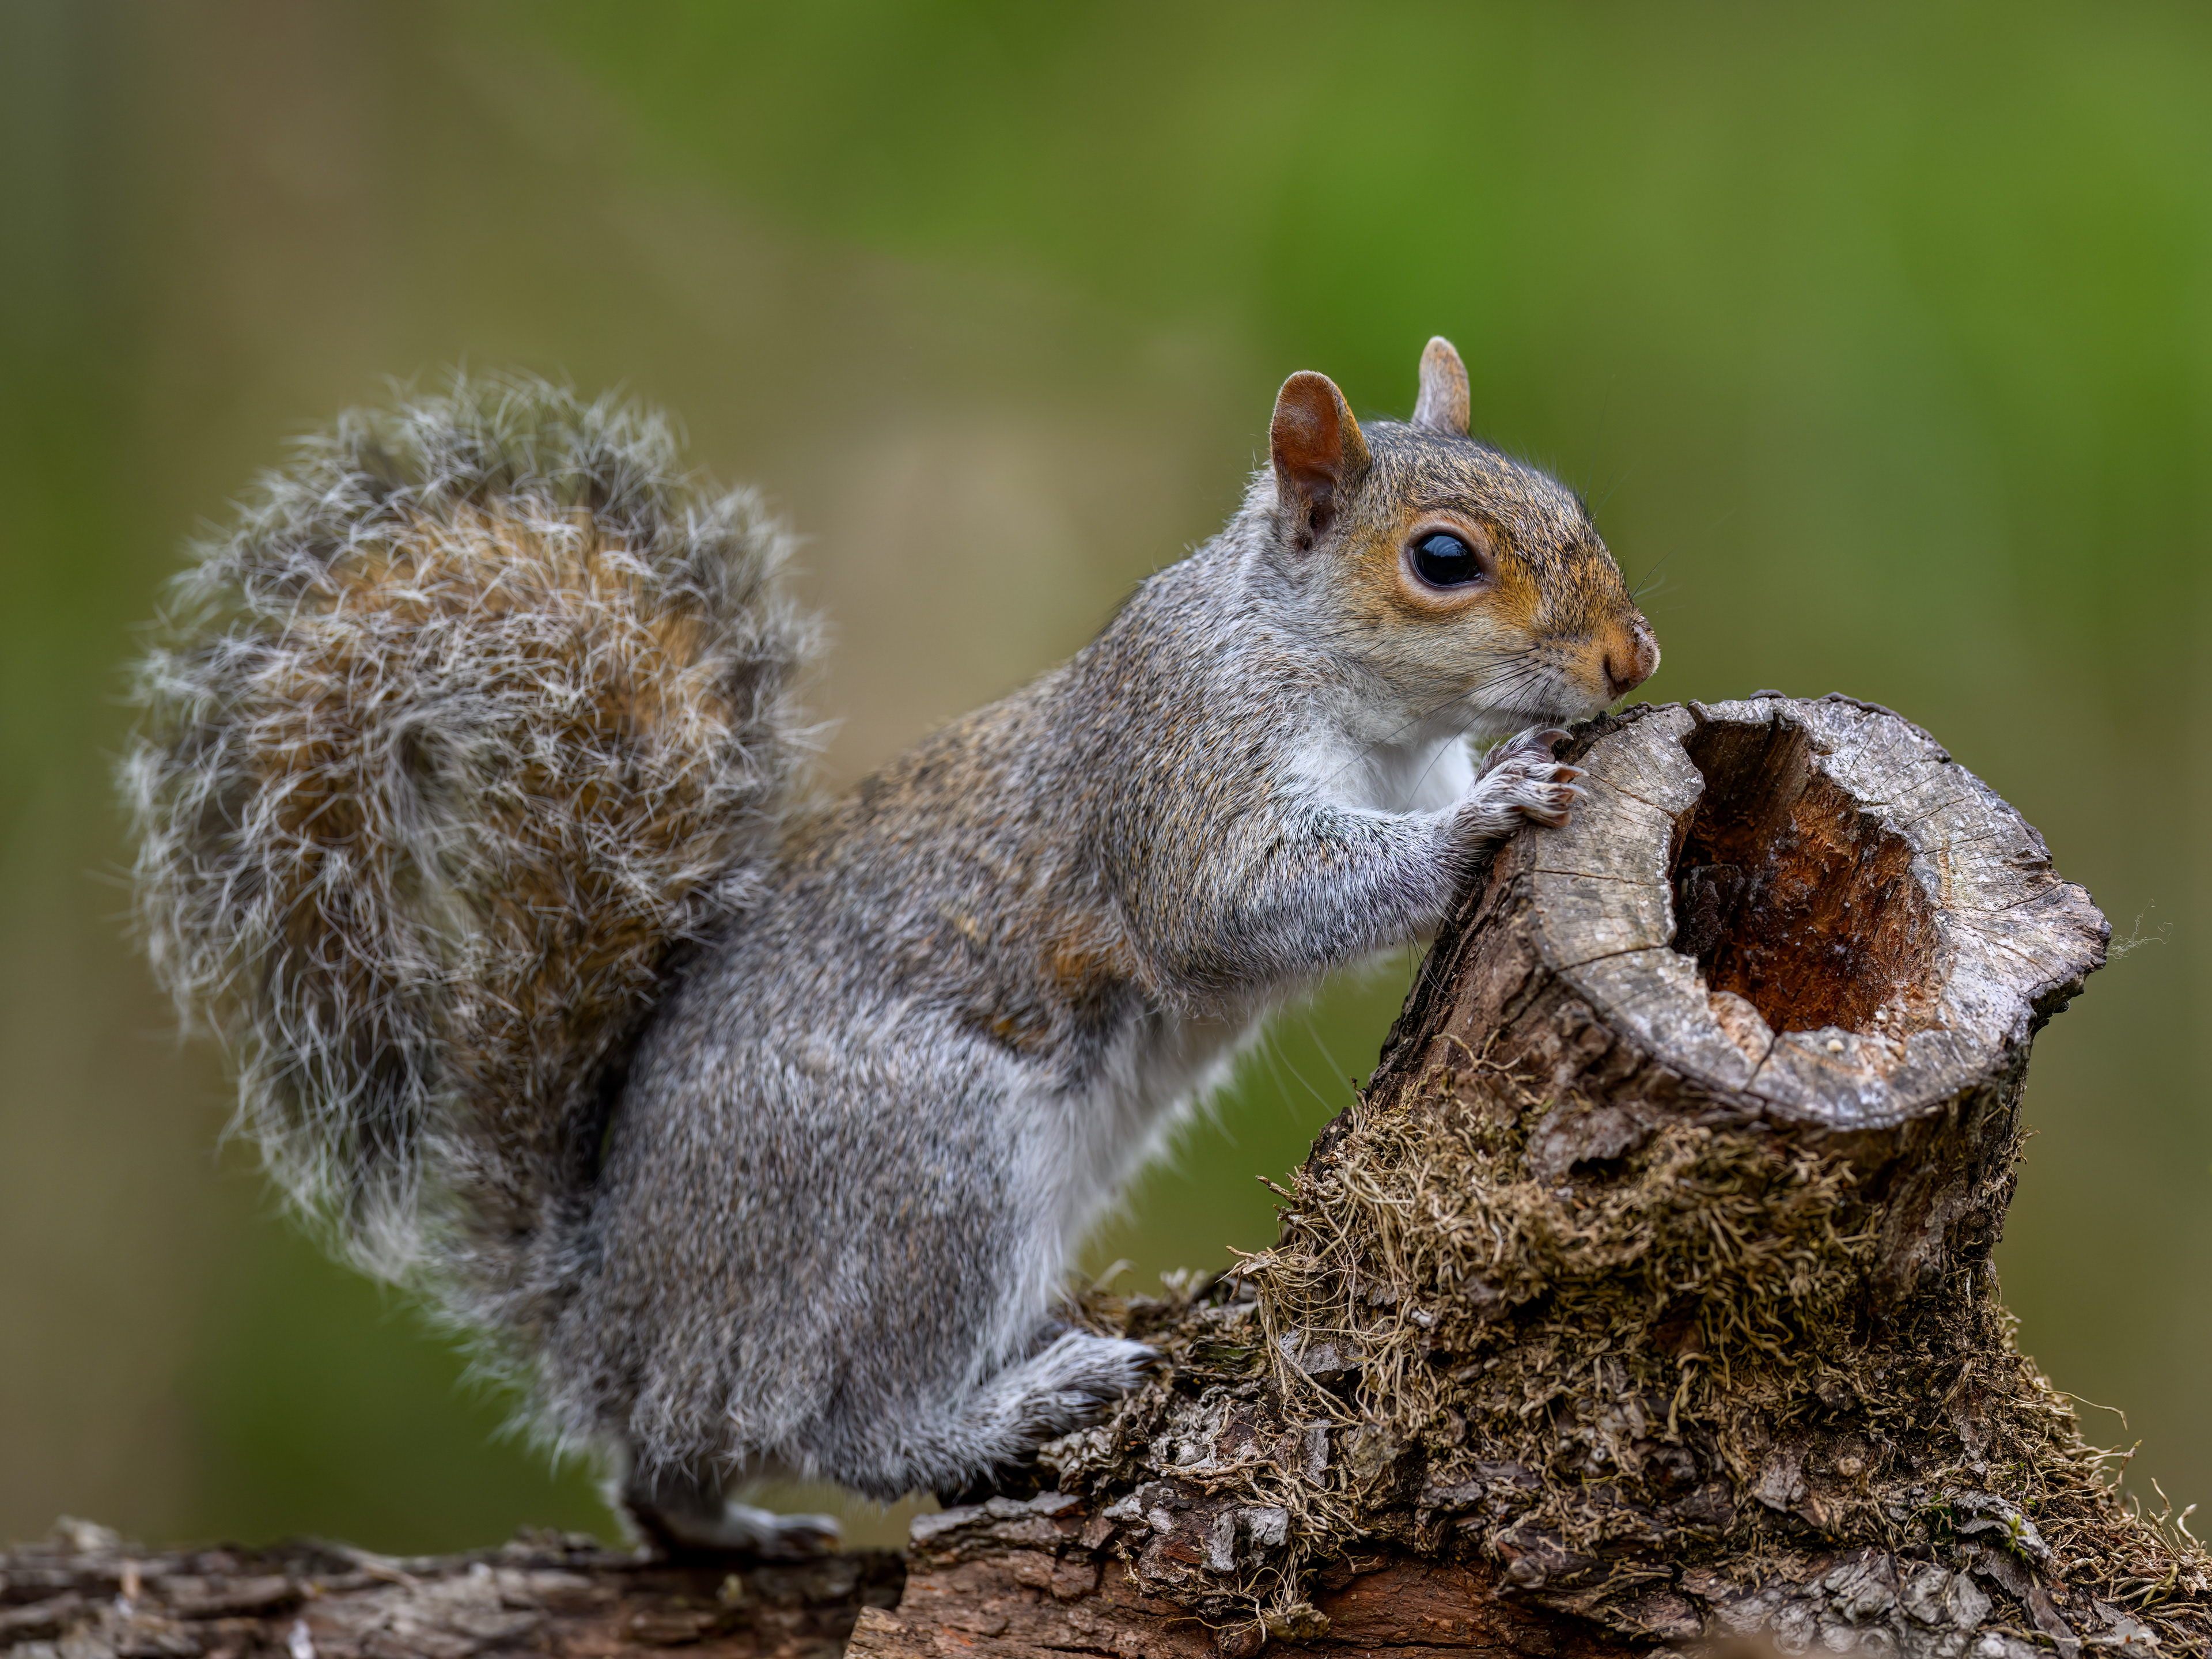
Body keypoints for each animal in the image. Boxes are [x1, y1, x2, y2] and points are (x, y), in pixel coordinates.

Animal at [122, 337, 1658, 1557]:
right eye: (1443, 560)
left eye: (1577, 506)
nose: (1630, 659)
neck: (1316, 667)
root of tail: (614, 1319)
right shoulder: (1182, 767)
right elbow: (1234, 915)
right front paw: (1487, 815)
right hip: (925, 1163)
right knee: (847, 1424)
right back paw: (1014, 1404)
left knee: (671, 1480)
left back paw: (728, 1529)